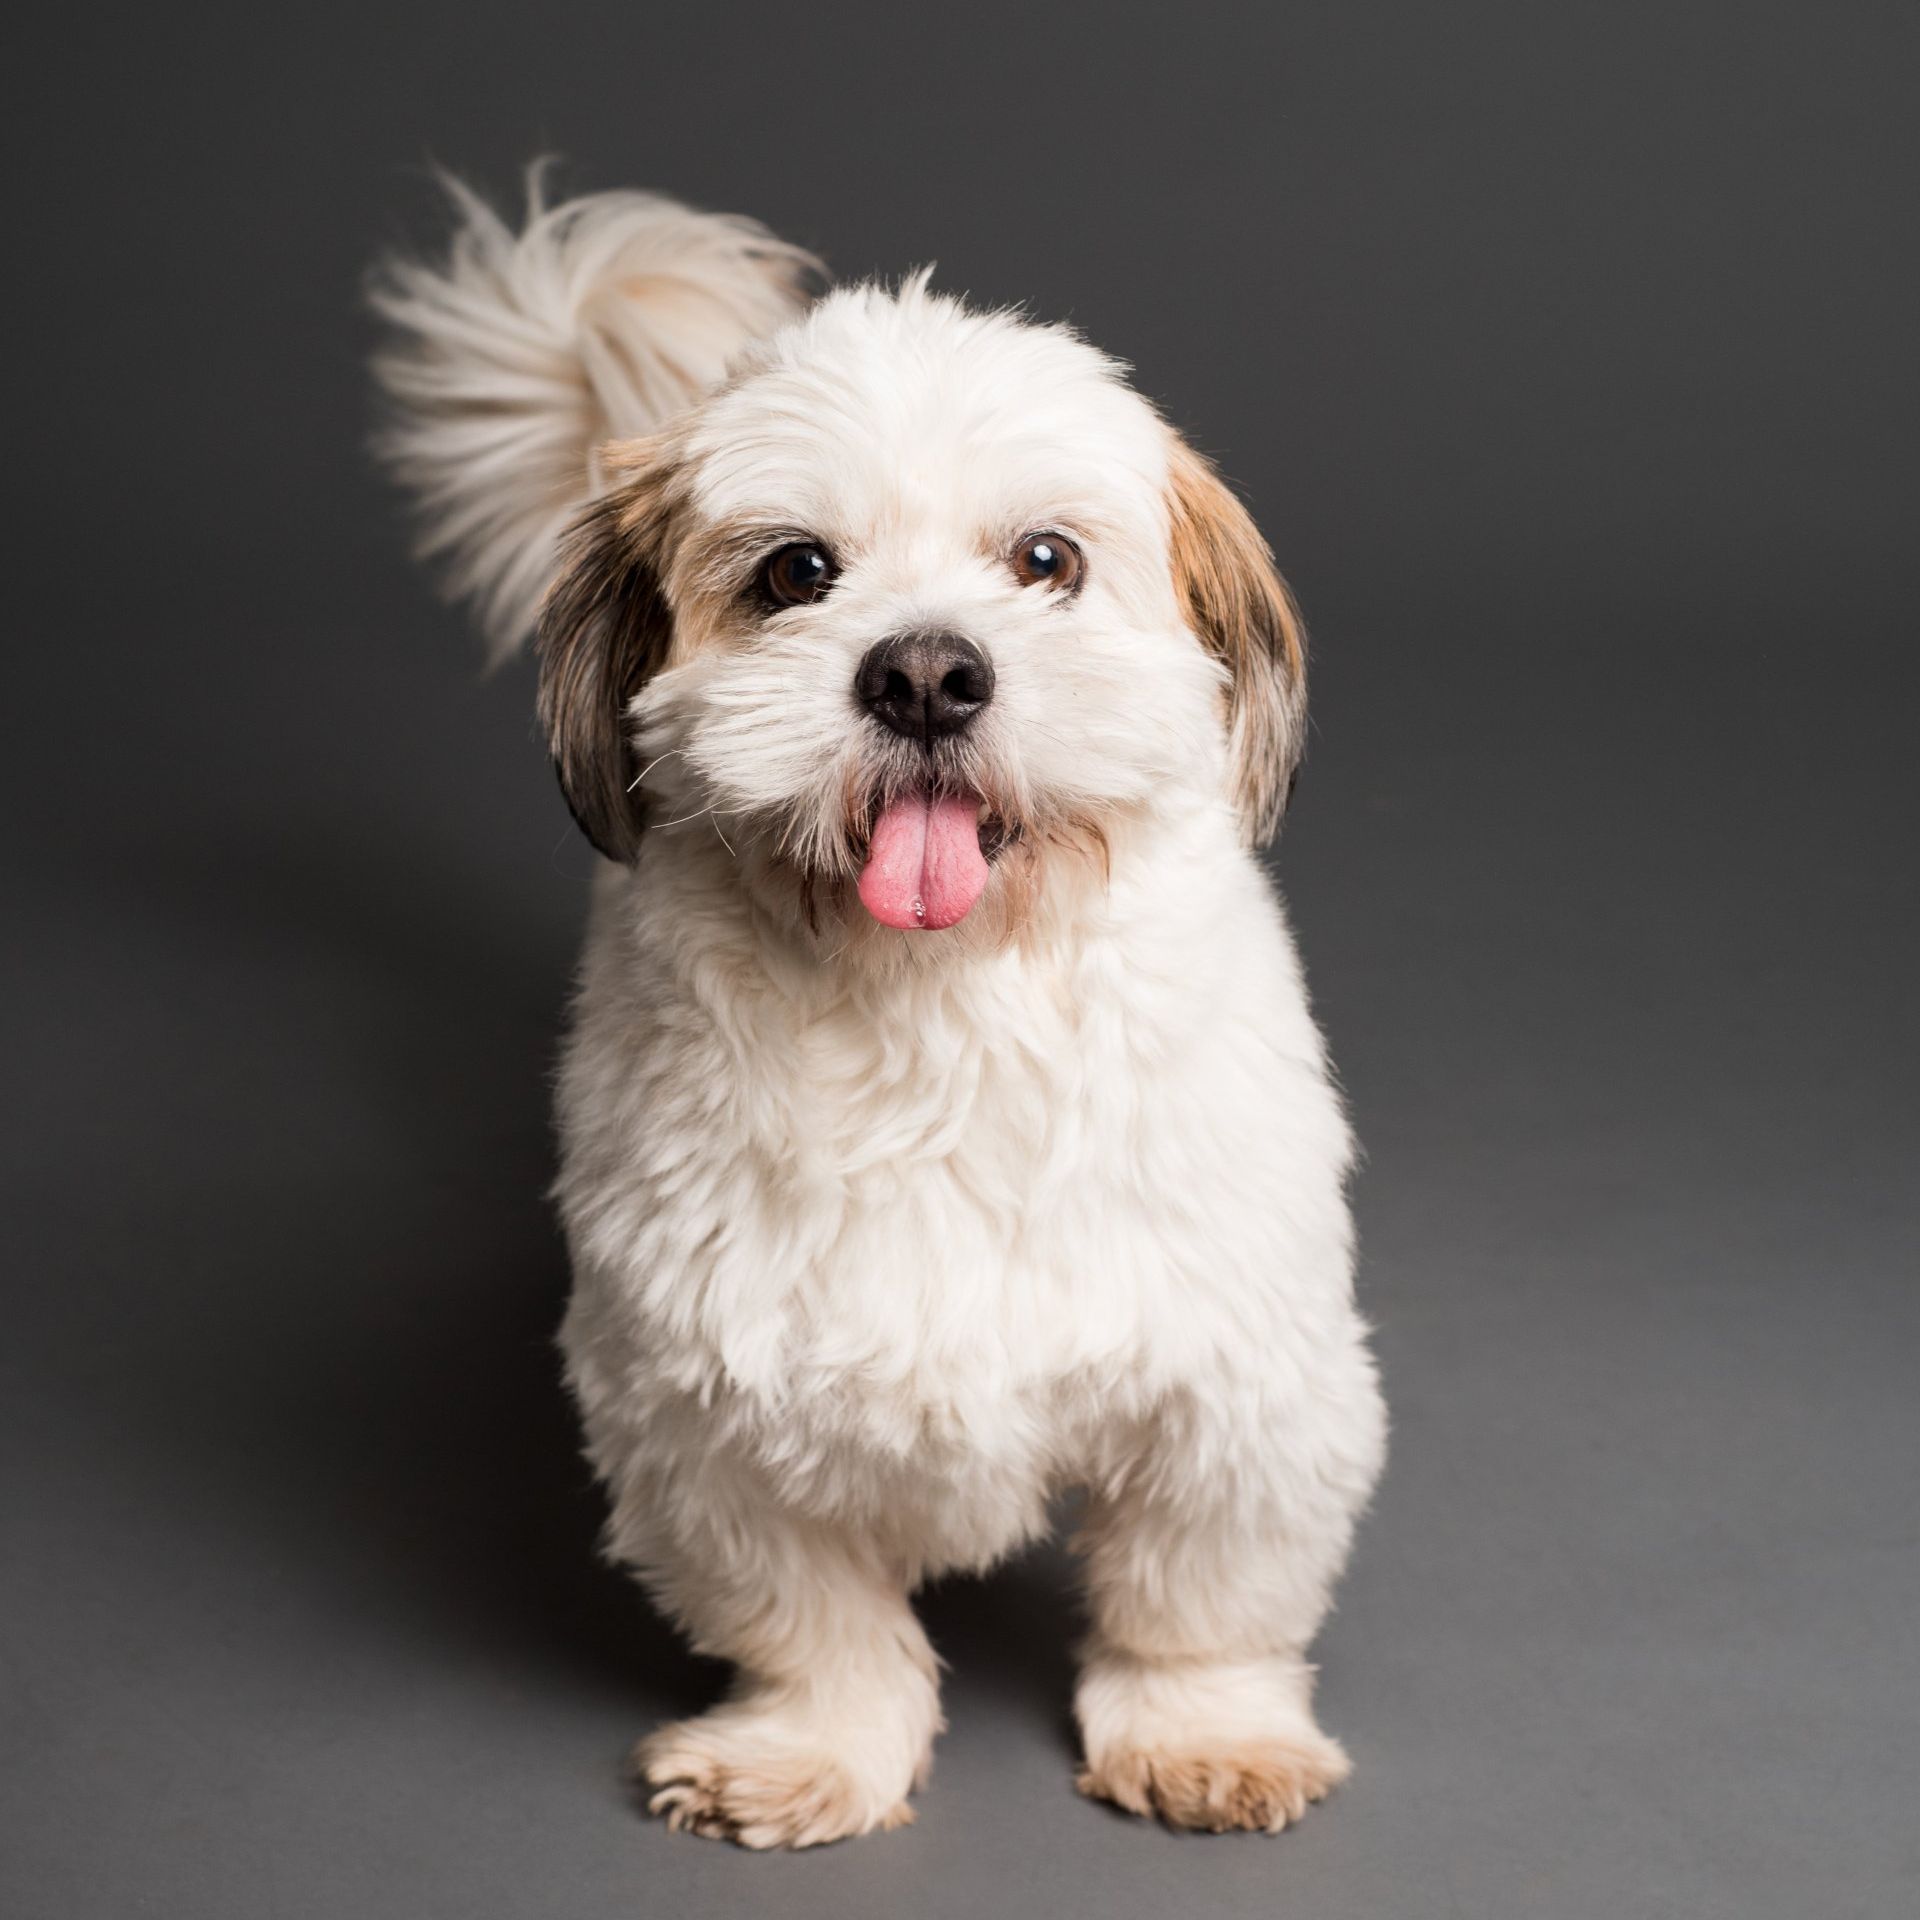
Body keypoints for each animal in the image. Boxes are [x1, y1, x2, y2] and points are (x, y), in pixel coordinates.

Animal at [374, 176, 1390, 1843]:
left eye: (1046, 559)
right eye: (796, 572)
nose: (924, 670)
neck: (941, 1010)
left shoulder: (1239, 1383)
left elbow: (1197, 1596)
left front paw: (1206, 1730)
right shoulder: (698, 1414)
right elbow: (814, 1620)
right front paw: (812, 1748)